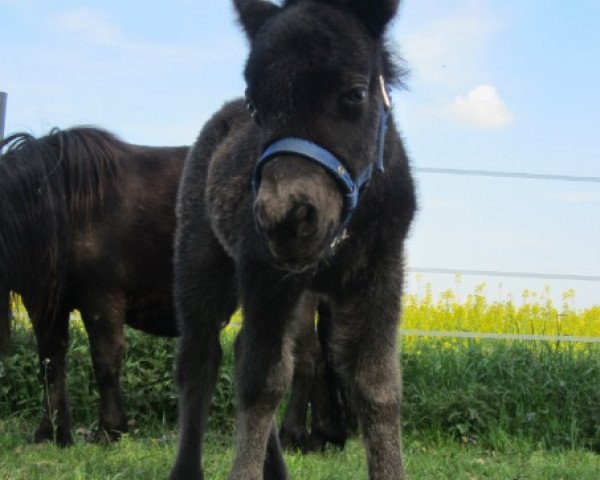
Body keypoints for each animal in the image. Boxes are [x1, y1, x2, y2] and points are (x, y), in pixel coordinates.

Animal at [0, 125, 186, 444]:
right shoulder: (45, 305)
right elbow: (50, 363)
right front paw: (51, 431)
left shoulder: (102, 297)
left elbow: (105, 360)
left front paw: (110, 430)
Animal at [166, 0, 414, 480]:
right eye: (256, 106)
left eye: (355, 94)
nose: (285, 217)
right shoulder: (264, 272)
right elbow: (261, 382)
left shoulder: (382, 271)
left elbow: (377, 386)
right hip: (202, 263)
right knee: (199, 360)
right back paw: (187, 470)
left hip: (297, 293)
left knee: (253, 350)